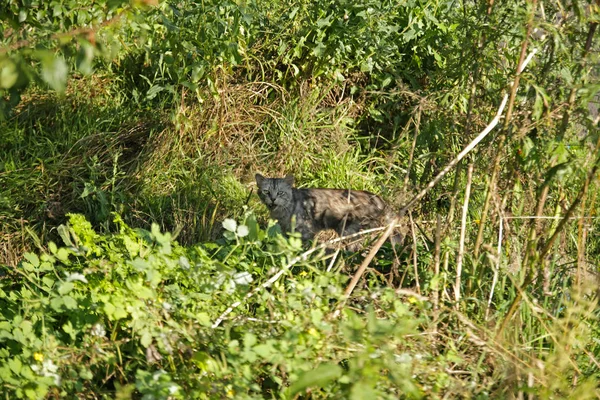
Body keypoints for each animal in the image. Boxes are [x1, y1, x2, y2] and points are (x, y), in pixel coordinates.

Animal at [255, 174, 400, 248]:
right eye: (266, 192)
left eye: (280, 193)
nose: (273, 199)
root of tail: (380, 199)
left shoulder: (305, 232)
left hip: (349, 229)